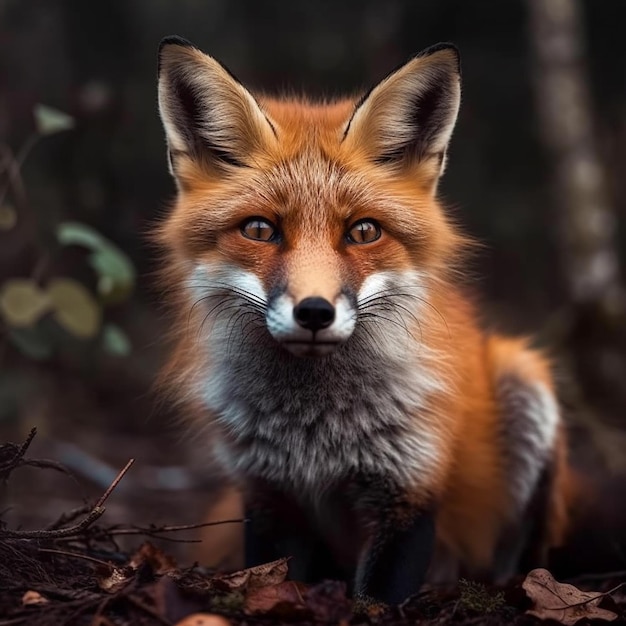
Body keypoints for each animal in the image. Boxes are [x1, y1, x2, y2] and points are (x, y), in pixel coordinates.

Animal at [155, 36, 572, 604]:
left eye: (363, 231)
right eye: (260, 229)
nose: (314, 311)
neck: (314, 433)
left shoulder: (410, 490)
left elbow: (377, 598)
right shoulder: (266, 497)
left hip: (524, 381)